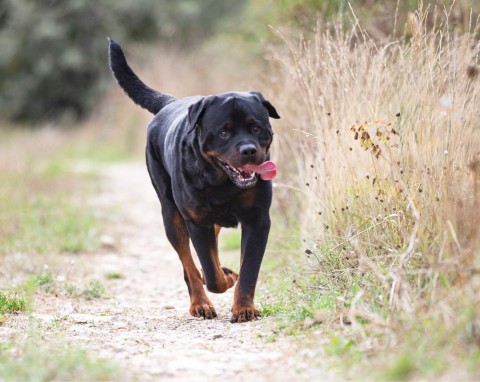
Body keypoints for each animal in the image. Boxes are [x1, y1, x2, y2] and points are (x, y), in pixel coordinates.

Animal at [108, 39, 282, 322]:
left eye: (256, 127)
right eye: (224, 132)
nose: (248, 150)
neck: (222, 182)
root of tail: (170, 102)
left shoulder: (257, 219)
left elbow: (248, 269)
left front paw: (244, 307)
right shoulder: (197, 222)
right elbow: (211, 275)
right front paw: (224, 279)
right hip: (171, 216)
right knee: (189, 264)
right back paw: (200, 303)